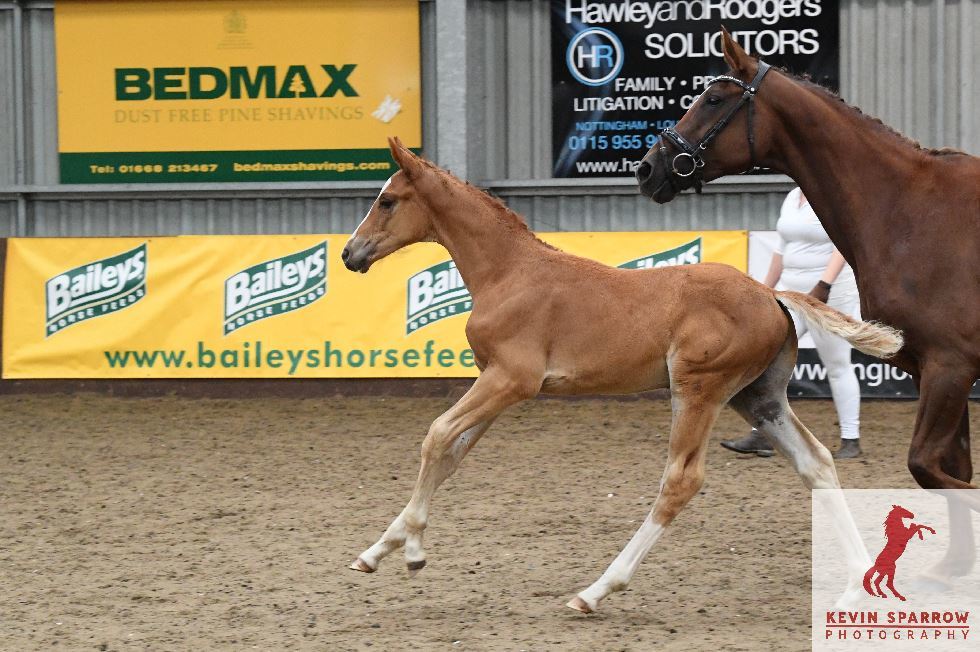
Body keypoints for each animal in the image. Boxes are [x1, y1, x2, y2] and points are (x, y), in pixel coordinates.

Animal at [341, 137, 901, 613]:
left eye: (387, 200)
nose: (349, 253)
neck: (508, 273)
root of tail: (772, 294)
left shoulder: (511, 380)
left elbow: (436, 435)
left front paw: (413, 551)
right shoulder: (497, 386)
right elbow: (451, 453)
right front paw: (375, 551)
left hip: (698, 389)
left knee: (681, 480)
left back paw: (595, 590)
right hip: (757, 398)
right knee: (816, 463)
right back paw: (856, 582)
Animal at [635, 28, 980, 585]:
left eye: (713, 100)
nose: (649, 168)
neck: (911, 212)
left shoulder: (950, 367)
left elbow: (929, 466)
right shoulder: (939, 370)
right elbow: (950, 468)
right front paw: (956, 566)